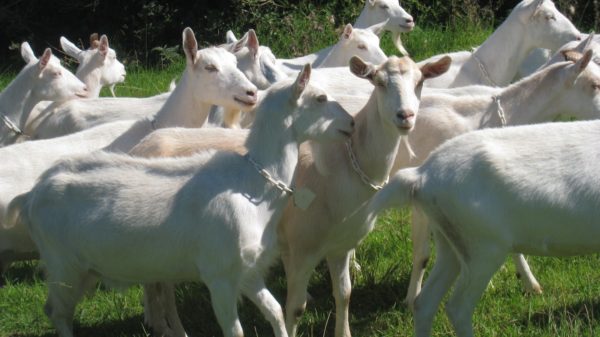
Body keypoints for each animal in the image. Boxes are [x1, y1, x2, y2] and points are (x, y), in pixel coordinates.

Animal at [4, 62, 354, 336]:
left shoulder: (248, 271)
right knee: (56, 312)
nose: (351, 123)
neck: (254, 183)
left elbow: (276, 312)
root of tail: (32, 195)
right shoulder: (218, 275)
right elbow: (235, 330)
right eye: (320, 98)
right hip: (63, 265)